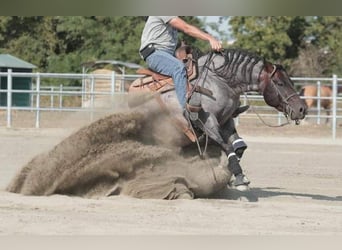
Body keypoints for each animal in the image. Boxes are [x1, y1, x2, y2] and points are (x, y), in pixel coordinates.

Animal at [127, 47, 308, 191]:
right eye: (279, 83)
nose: (302, 109)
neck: (220, 81)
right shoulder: (207, 123)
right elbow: (227, 146)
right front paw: (240, 179)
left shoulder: (226, 121)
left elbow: (239, 147)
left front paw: (231, 176)